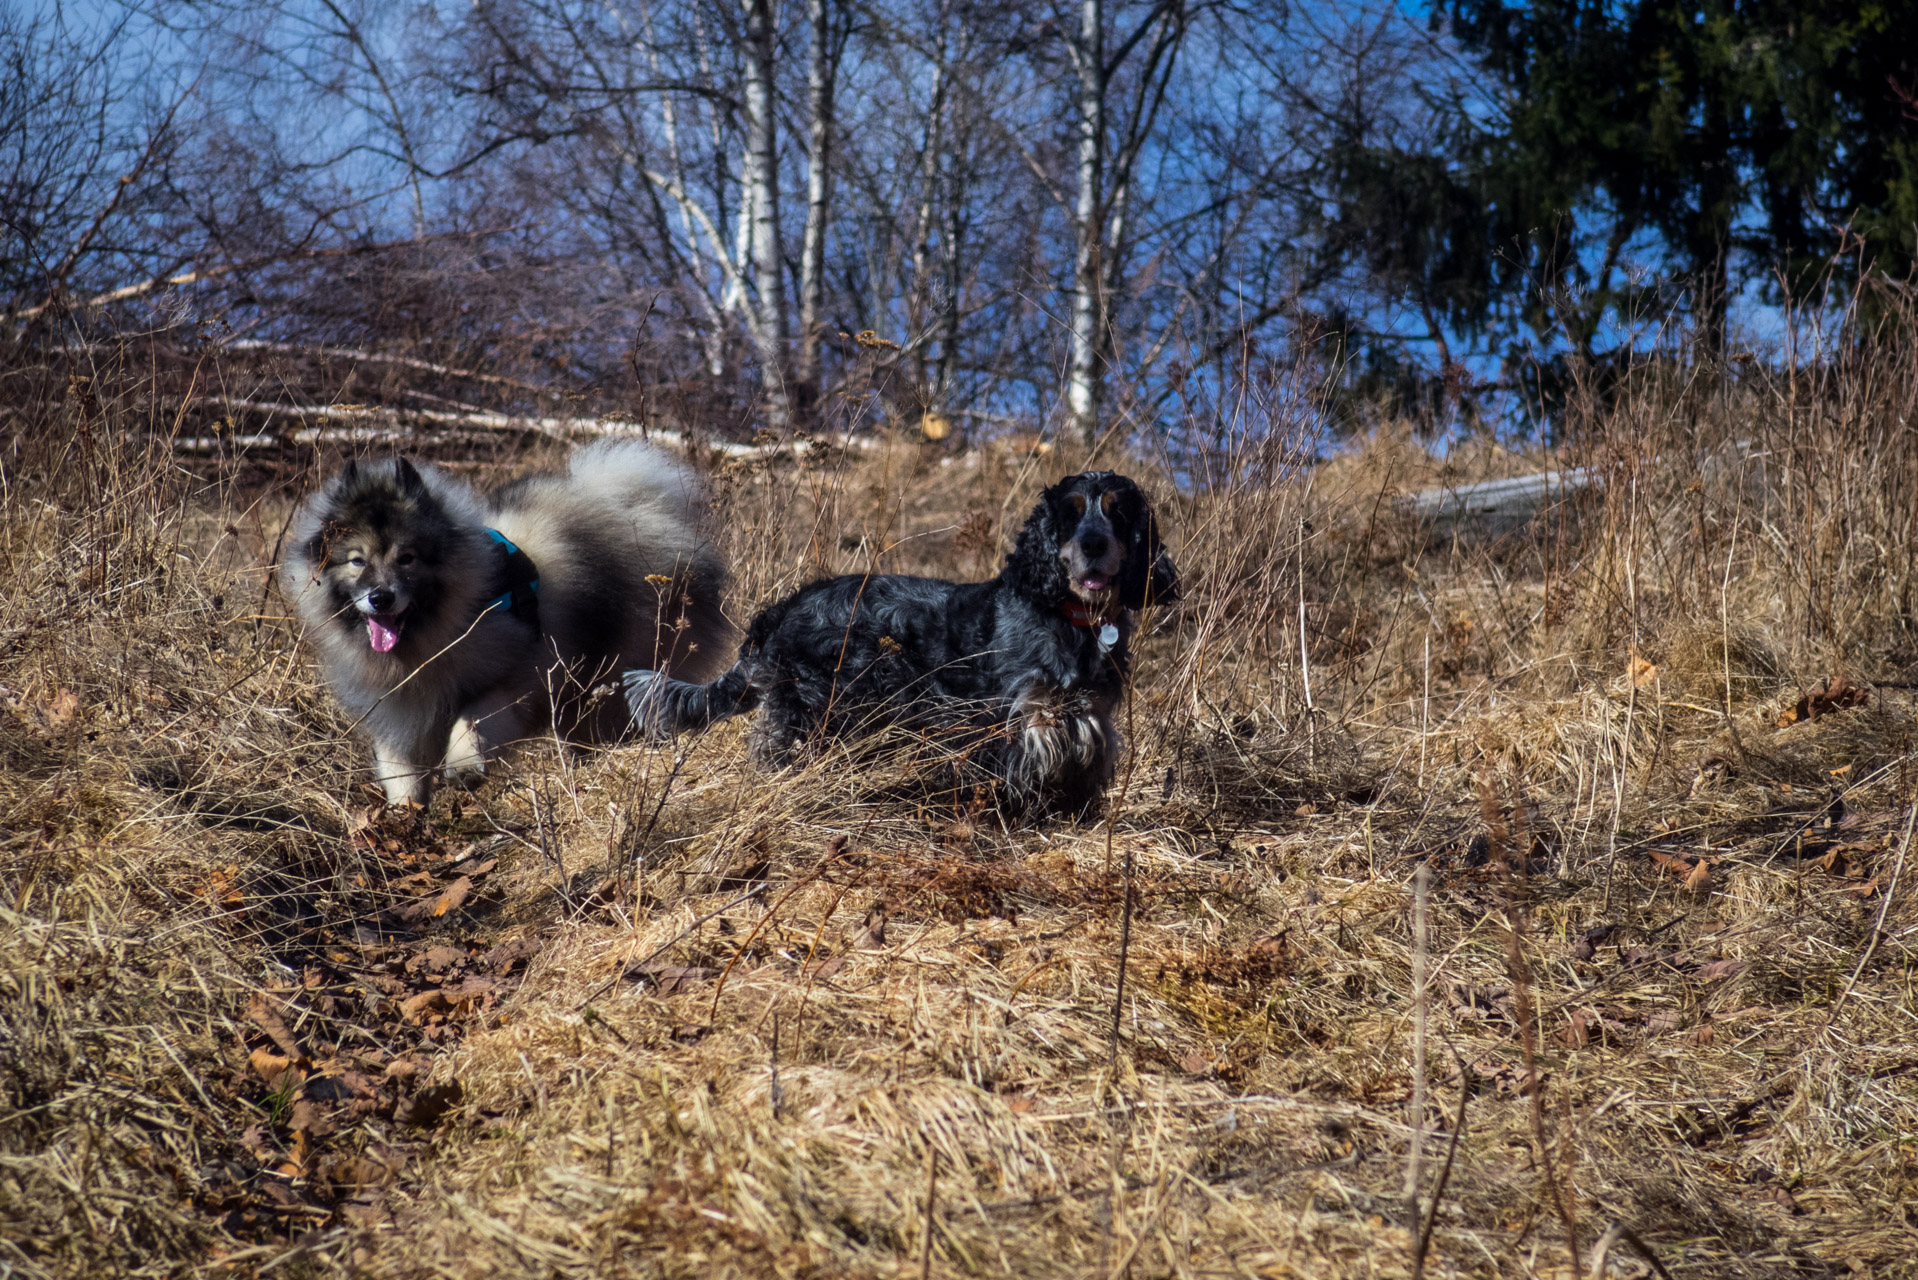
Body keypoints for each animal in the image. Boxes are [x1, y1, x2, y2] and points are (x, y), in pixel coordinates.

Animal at [281, 441, 725, 802]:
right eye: (357, 561)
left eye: (407, 558)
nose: (381, 597)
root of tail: (634, 507)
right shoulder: (400, 711)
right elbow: (400, 771)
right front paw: (404, 817)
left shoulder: (517, 679)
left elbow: (472, 719)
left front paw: (464, 765)